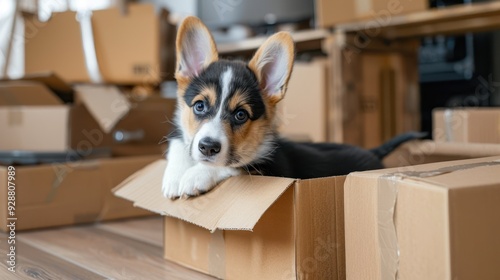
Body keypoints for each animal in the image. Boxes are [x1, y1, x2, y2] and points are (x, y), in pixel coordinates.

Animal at [162, 16, 420, 198]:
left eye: (241, 114)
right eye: (199, 106)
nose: (208, 147)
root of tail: (372, 152)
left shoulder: (270, 170)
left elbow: (236, 166)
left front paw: (195, 175)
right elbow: (179, 144)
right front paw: (174, 177)